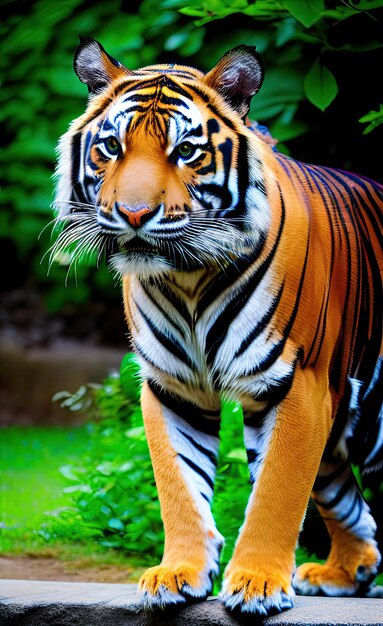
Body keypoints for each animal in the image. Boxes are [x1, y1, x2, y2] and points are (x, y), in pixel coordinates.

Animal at [53, 37, 383, 616]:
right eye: (111, 147)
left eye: (186, 151)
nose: (133, 214)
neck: (187, 278)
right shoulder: (173, 386)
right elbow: (178, 486)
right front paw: (178, 574)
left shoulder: (296, 385)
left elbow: (276, 492)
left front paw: (256, 584)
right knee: (352, 505)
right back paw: (343, 573)